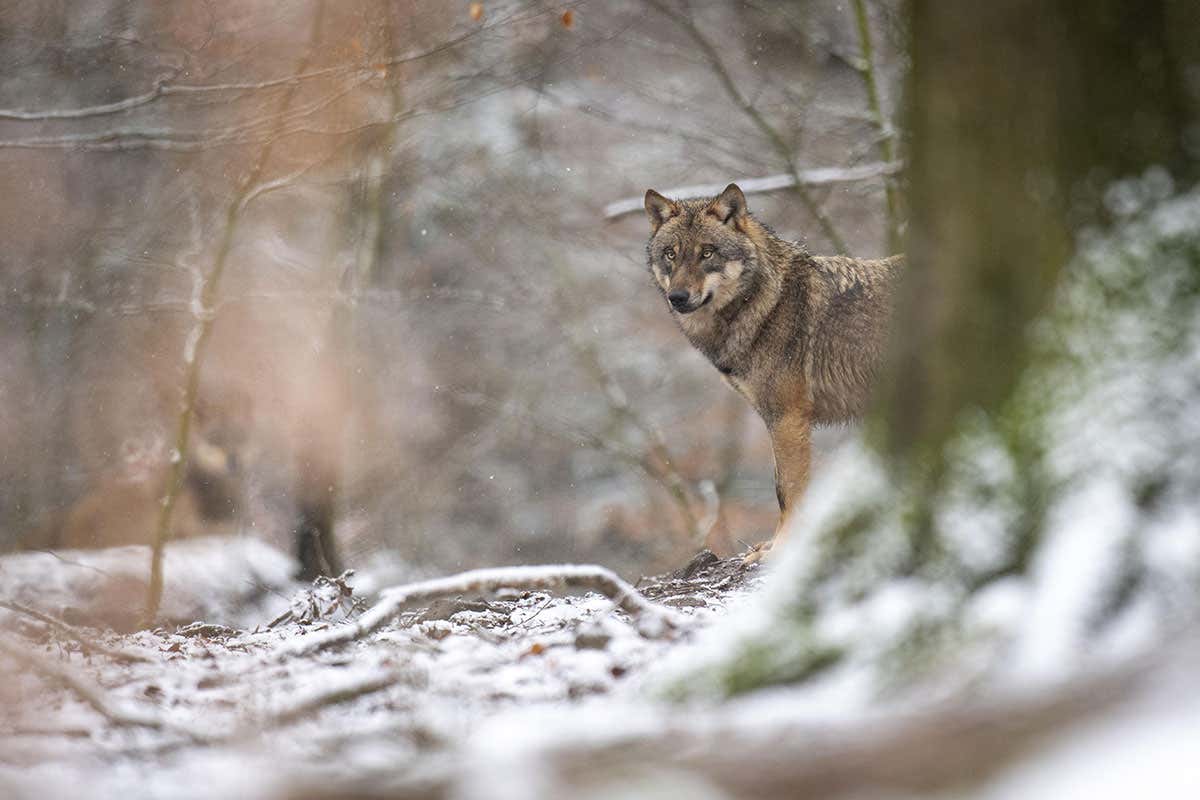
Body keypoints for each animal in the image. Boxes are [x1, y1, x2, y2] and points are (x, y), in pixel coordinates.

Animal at [644, 183, 901, 559]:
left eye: (707, 253)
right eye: (671, 255)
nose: (677, 297)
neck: (765, 302)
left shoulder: (786, 418)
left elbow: (786, 490)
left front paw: (781, 549)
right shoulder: (774, 418)